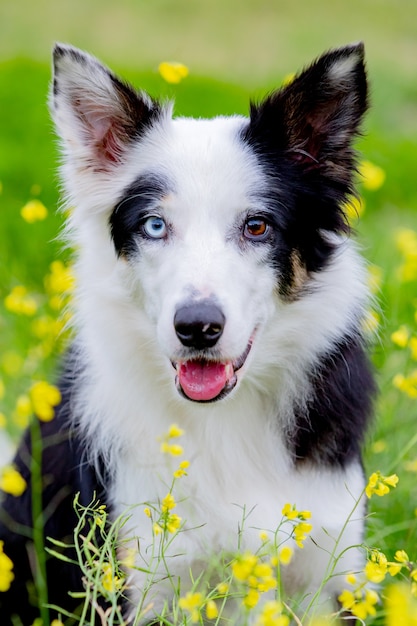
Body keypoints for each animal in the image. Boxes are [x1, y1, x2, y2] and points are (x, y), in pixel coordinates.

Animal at [0, 41, 374, 620]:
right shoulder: (142, 585)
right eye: (155, 225)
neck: (223, 421)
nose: (198, 328)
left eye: (256, 226)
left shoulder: (328, 576)